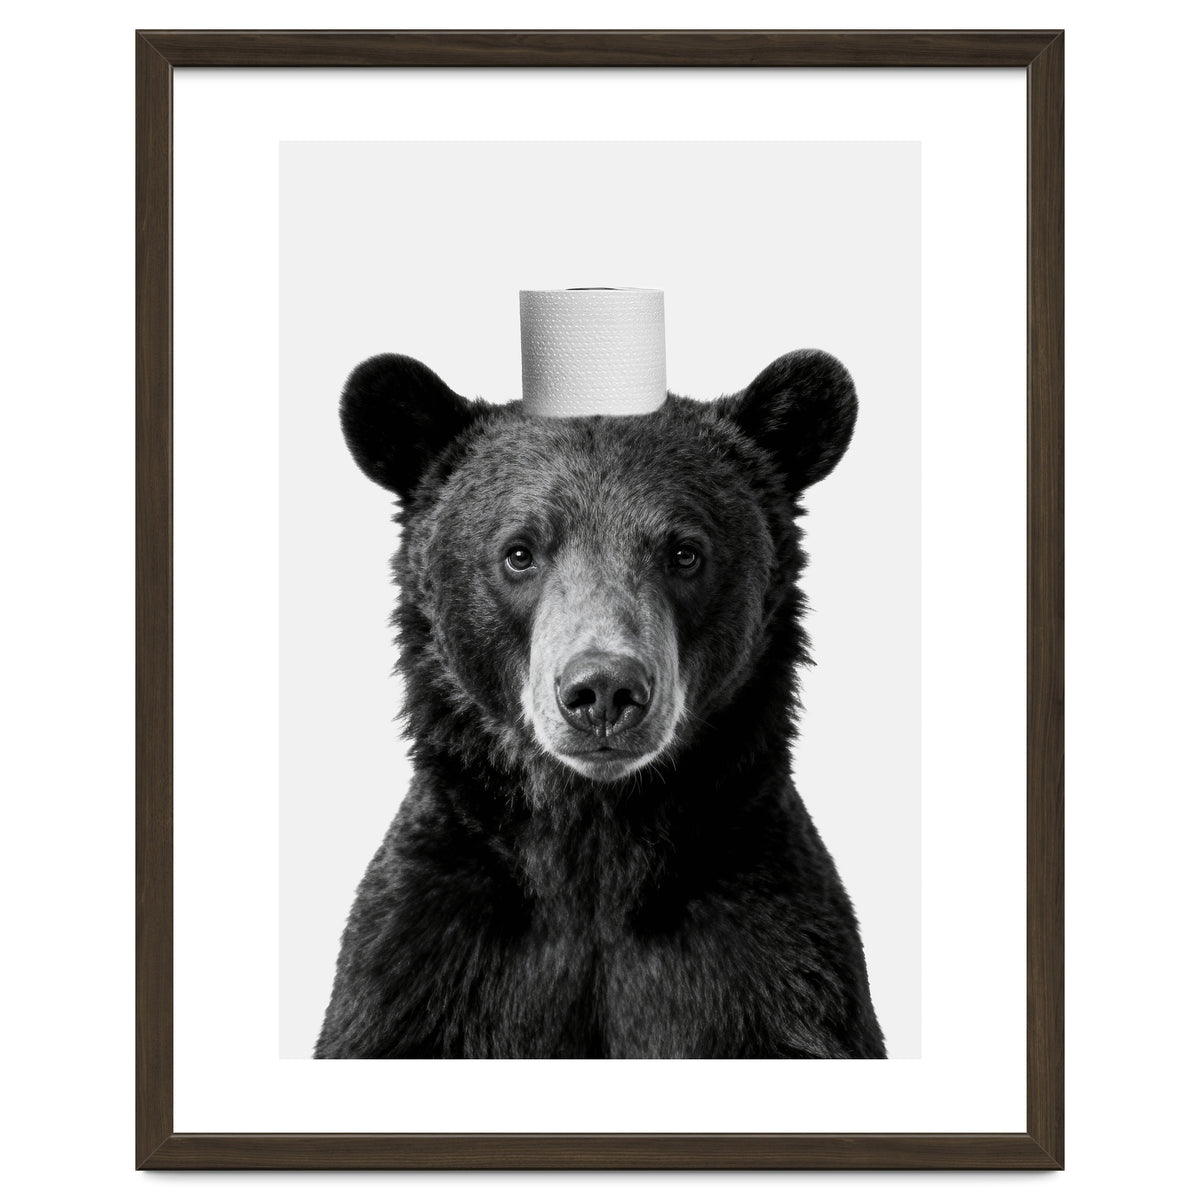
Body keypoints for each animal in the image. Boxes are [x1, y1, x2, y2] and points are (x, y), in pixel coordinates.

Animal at [315, 348, 886, 1059]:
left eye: (684, 552)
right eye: (519, 553)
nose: (604, 691)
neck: (594, 840)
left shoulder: (773, 958)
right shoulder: (423, 959)